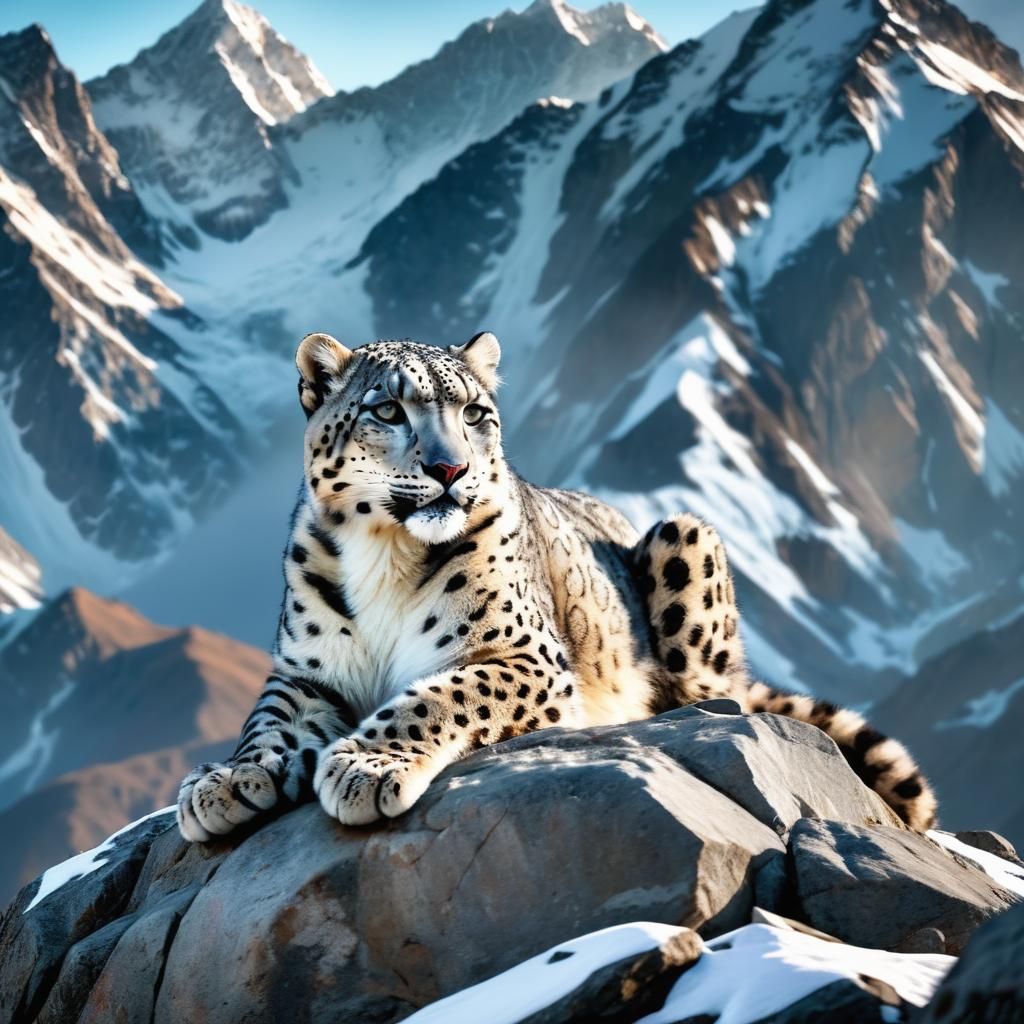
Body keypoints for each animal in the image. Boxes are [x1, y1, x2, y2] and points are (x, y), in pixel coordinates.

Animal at [176, 331, 937, 840]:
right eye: (387, 411)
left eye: (475, 414)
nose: (452, 469)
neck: (385, 553)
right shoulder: (308, 673)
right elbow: (267, 721)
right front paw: (227, 781)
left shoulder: (520, 653)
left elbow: (437, 695)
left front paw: (366, 763)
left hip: (685, 542)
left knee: (714, 695)